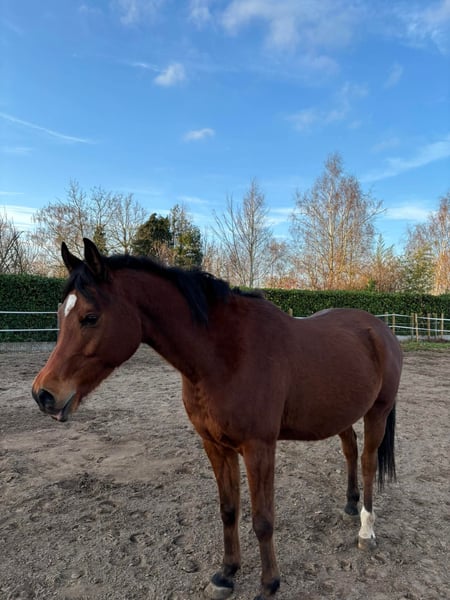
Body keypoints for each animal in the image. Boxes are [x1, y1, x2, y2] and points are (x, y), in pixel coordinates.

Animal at [32, 238, 402, 600]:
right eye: (60, 314)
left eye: (90, 317)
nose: (43, 394)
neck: (224, 355)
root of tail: (380, 329)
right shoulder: (215, 445)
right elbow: (228, 510)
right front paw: (226, 574)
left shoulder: (258, 448)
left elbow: (262, 519)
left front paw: (269, 585)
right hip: (343, 414)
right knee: (350, 450)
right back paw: (350, 505)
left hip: (378, 412)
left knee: (368, 462)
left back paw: (366, 531)